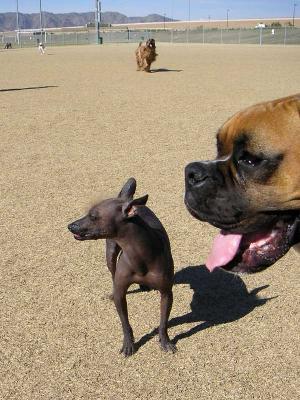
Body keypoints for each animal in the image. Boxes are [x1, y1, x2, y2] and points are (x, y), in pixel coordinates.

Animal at [68, 178, 176, 356]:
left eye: (93, 216)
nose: (70, 226)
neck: (140, 255)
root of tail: (126, 198)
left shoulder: (166, 293)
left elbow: (163, 322)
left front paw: (165, 341)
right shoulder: (121, 293)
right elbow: (125, 323)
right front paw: (128, 344)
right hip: (110, 254)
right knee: (112, 273)